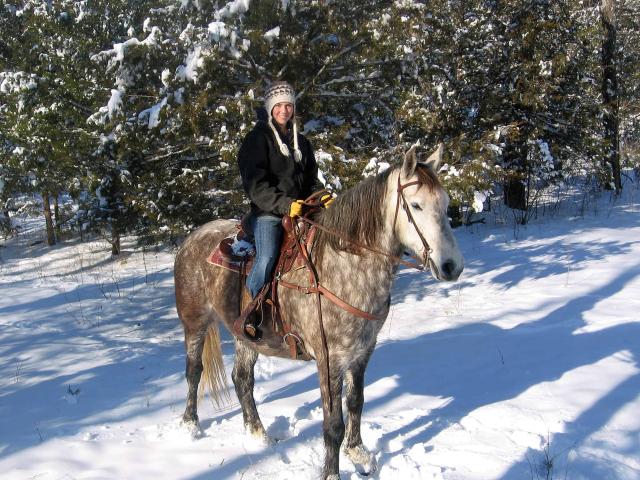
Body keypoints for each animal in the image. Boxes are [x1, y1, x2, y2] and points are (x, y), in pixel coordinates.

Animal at [175, 144, 464, 478]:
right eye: (415, 205)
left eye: (445, 203)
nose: (452, 266)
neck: (343, 268)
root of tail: (192, 238)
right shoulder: (329, 359)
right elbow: (333, 424)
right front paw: (331, 472)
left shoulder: (362, 352)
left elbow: (356, 402)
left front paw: (359, 453)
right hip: (194, 322)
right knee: (194, 371)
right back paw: (190, 425)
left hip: (244, 335)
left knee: (242, 378)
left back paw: (258, 433)